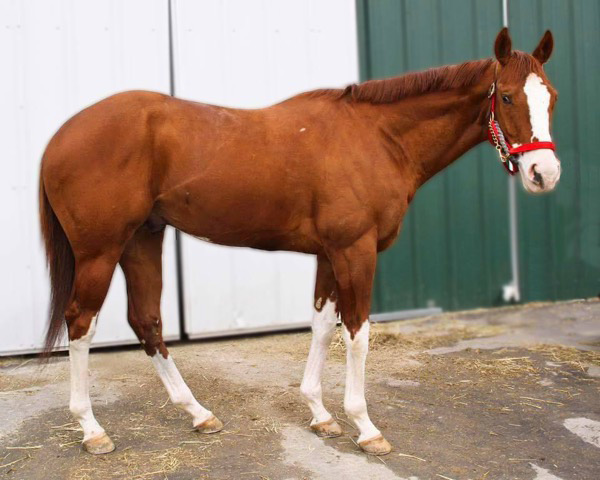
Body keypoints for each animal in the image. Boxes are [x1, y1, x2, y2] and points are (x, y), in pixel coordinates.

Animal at [39, 28, 556, 456]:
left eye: (549, 97)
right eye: (507, 96)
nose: (543, 174)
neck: (378, 137)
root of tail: (59, 138)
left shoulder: (330, 255)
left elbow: (322, 326)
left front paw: (321, 414)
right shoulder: (355, 251)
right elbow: (358, 334)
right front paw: (365, 427)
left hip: (142, 240)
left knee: (146, 321)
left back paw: (199, 414)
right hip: (101, 251)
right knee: (80, 322)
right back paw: (92, 430)